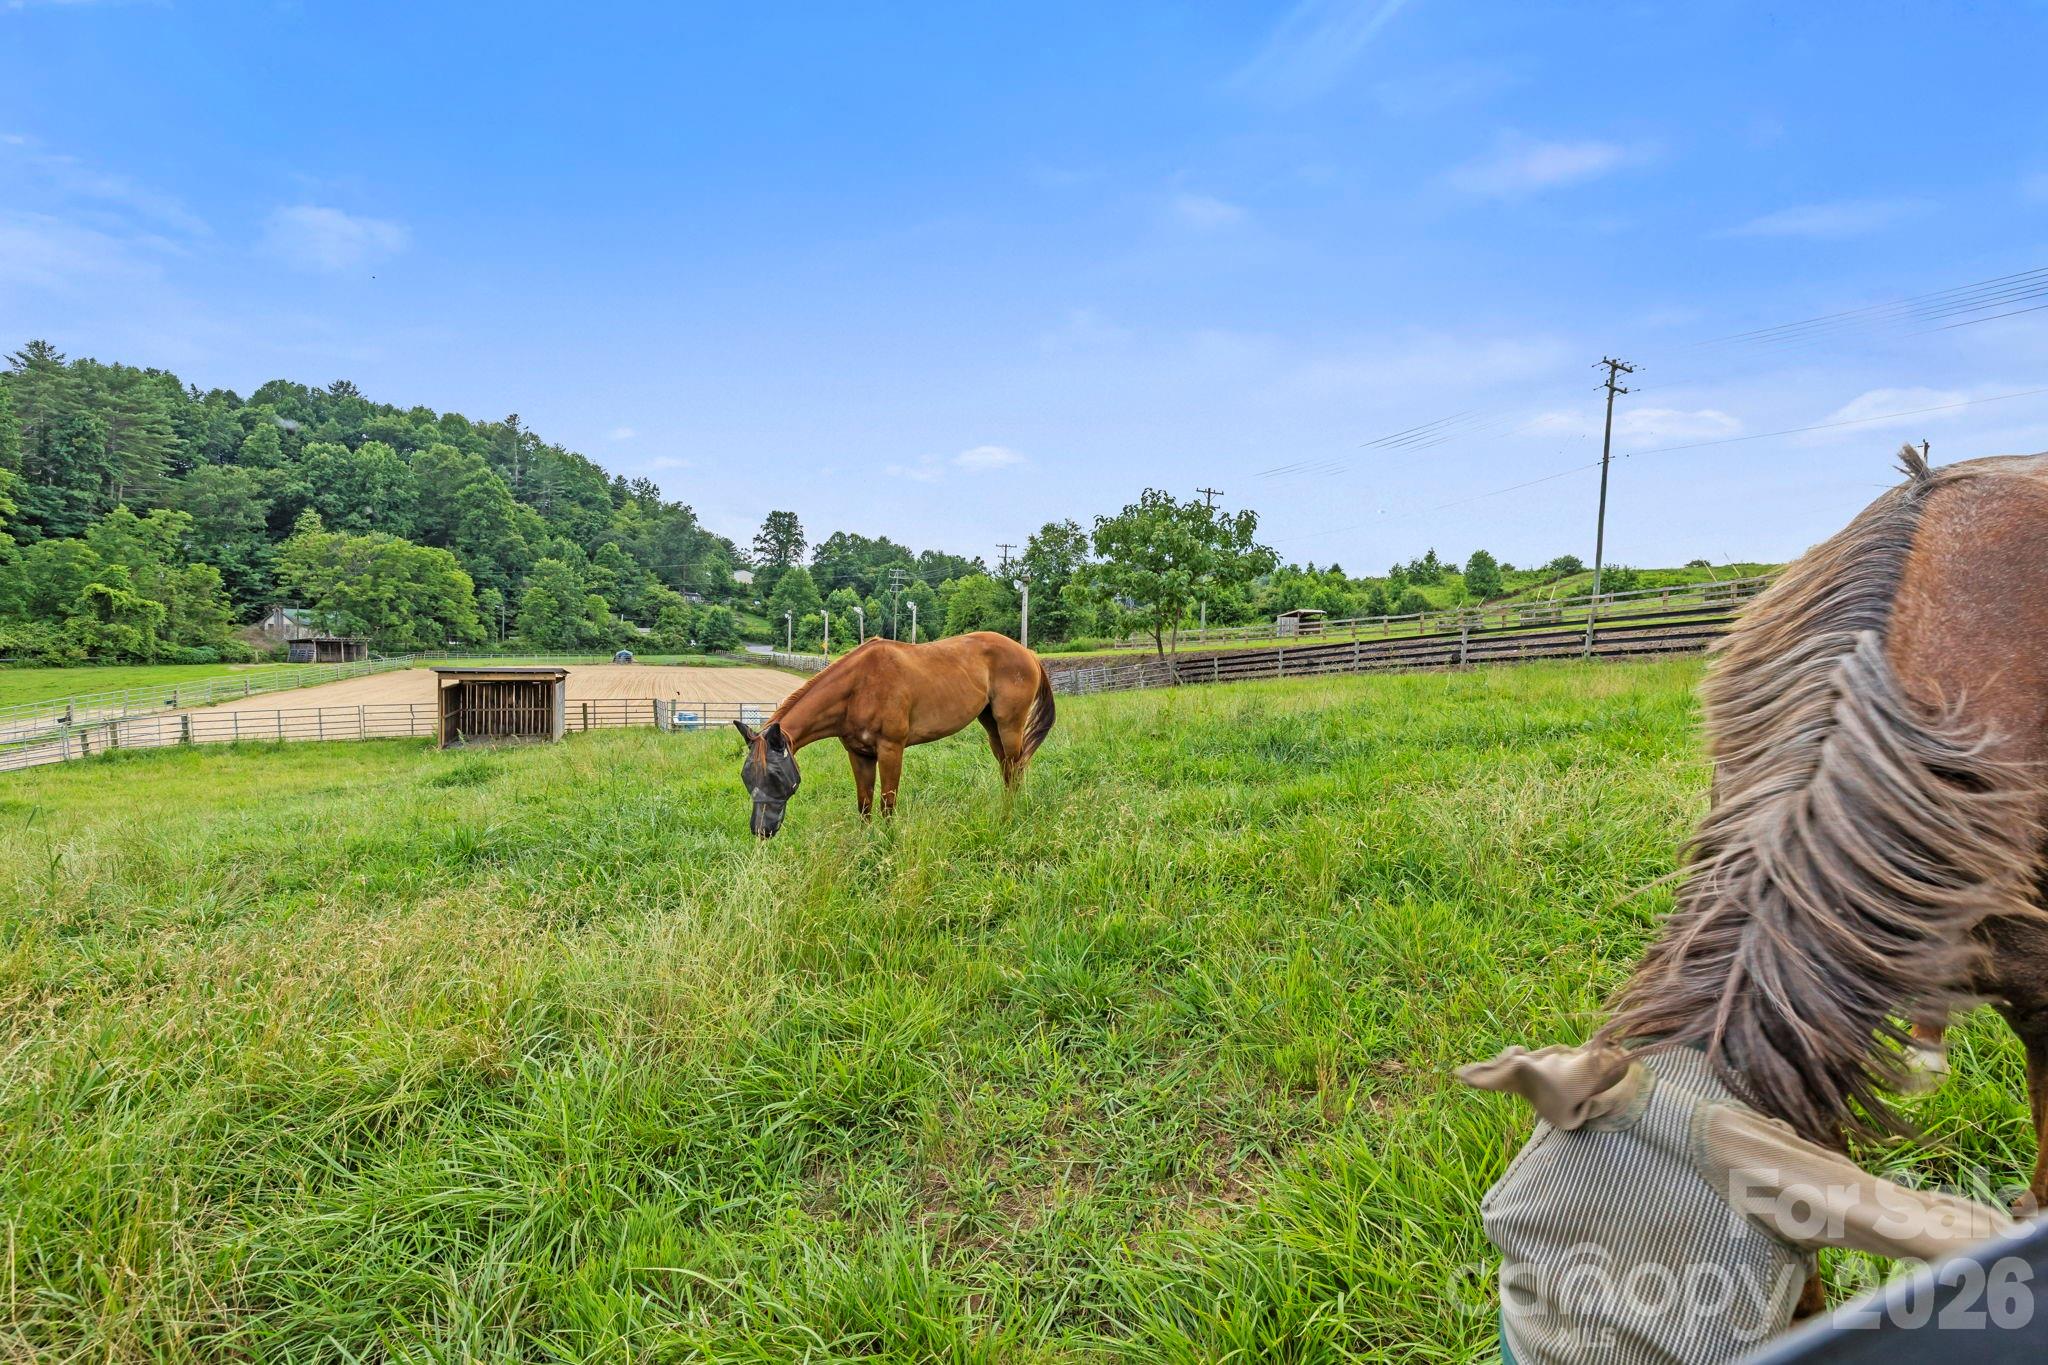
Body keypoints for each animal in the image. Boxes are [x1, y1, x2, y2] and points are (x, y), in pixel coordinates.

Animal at [733, 630, 1055, 838]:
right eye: (746, 776)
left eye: (775, 776)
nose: (760, 831)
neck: (858, 688)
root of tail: (1028, 653)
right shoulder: (859, 754)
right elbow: (864, 804)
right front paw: (865, 844)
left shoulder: (891, 749)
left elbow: (887, 803)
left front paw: (888, 843)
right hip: (990, 725)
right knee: (1007, 768)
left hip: (1010, 724)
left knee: (1016, 767)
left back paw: (1009, 817)